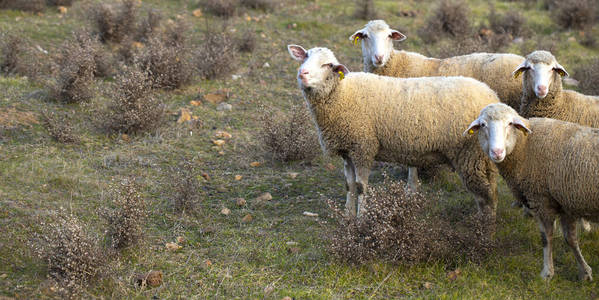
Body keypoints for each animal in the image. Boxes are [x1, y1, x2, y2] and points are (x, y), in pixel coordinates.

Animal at [288, 44, 500, 223]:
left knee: (486, 195)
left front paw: (361, 220)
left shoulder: (363, 147)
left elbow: (361, 187)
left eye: (328, 65)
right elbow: (349, 185)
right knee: (490, 190)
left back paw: (485, 229)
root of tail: (490, 94)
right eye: (305, 56)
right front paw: (347, 217)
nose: (302, 73)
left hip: (471, 155)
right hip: (481, 157)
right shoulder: (348, 150)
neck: (342, 94)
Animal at [468, 102, 599, 280]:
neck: (524, 145)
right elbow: (571, 239)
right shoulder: (566, 203)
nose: (497, 152)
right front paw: (585, 272)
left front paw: (547, 273)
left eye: (510, 123)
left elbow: (546, 237)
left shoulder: (541, 199)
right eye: (483, 125)